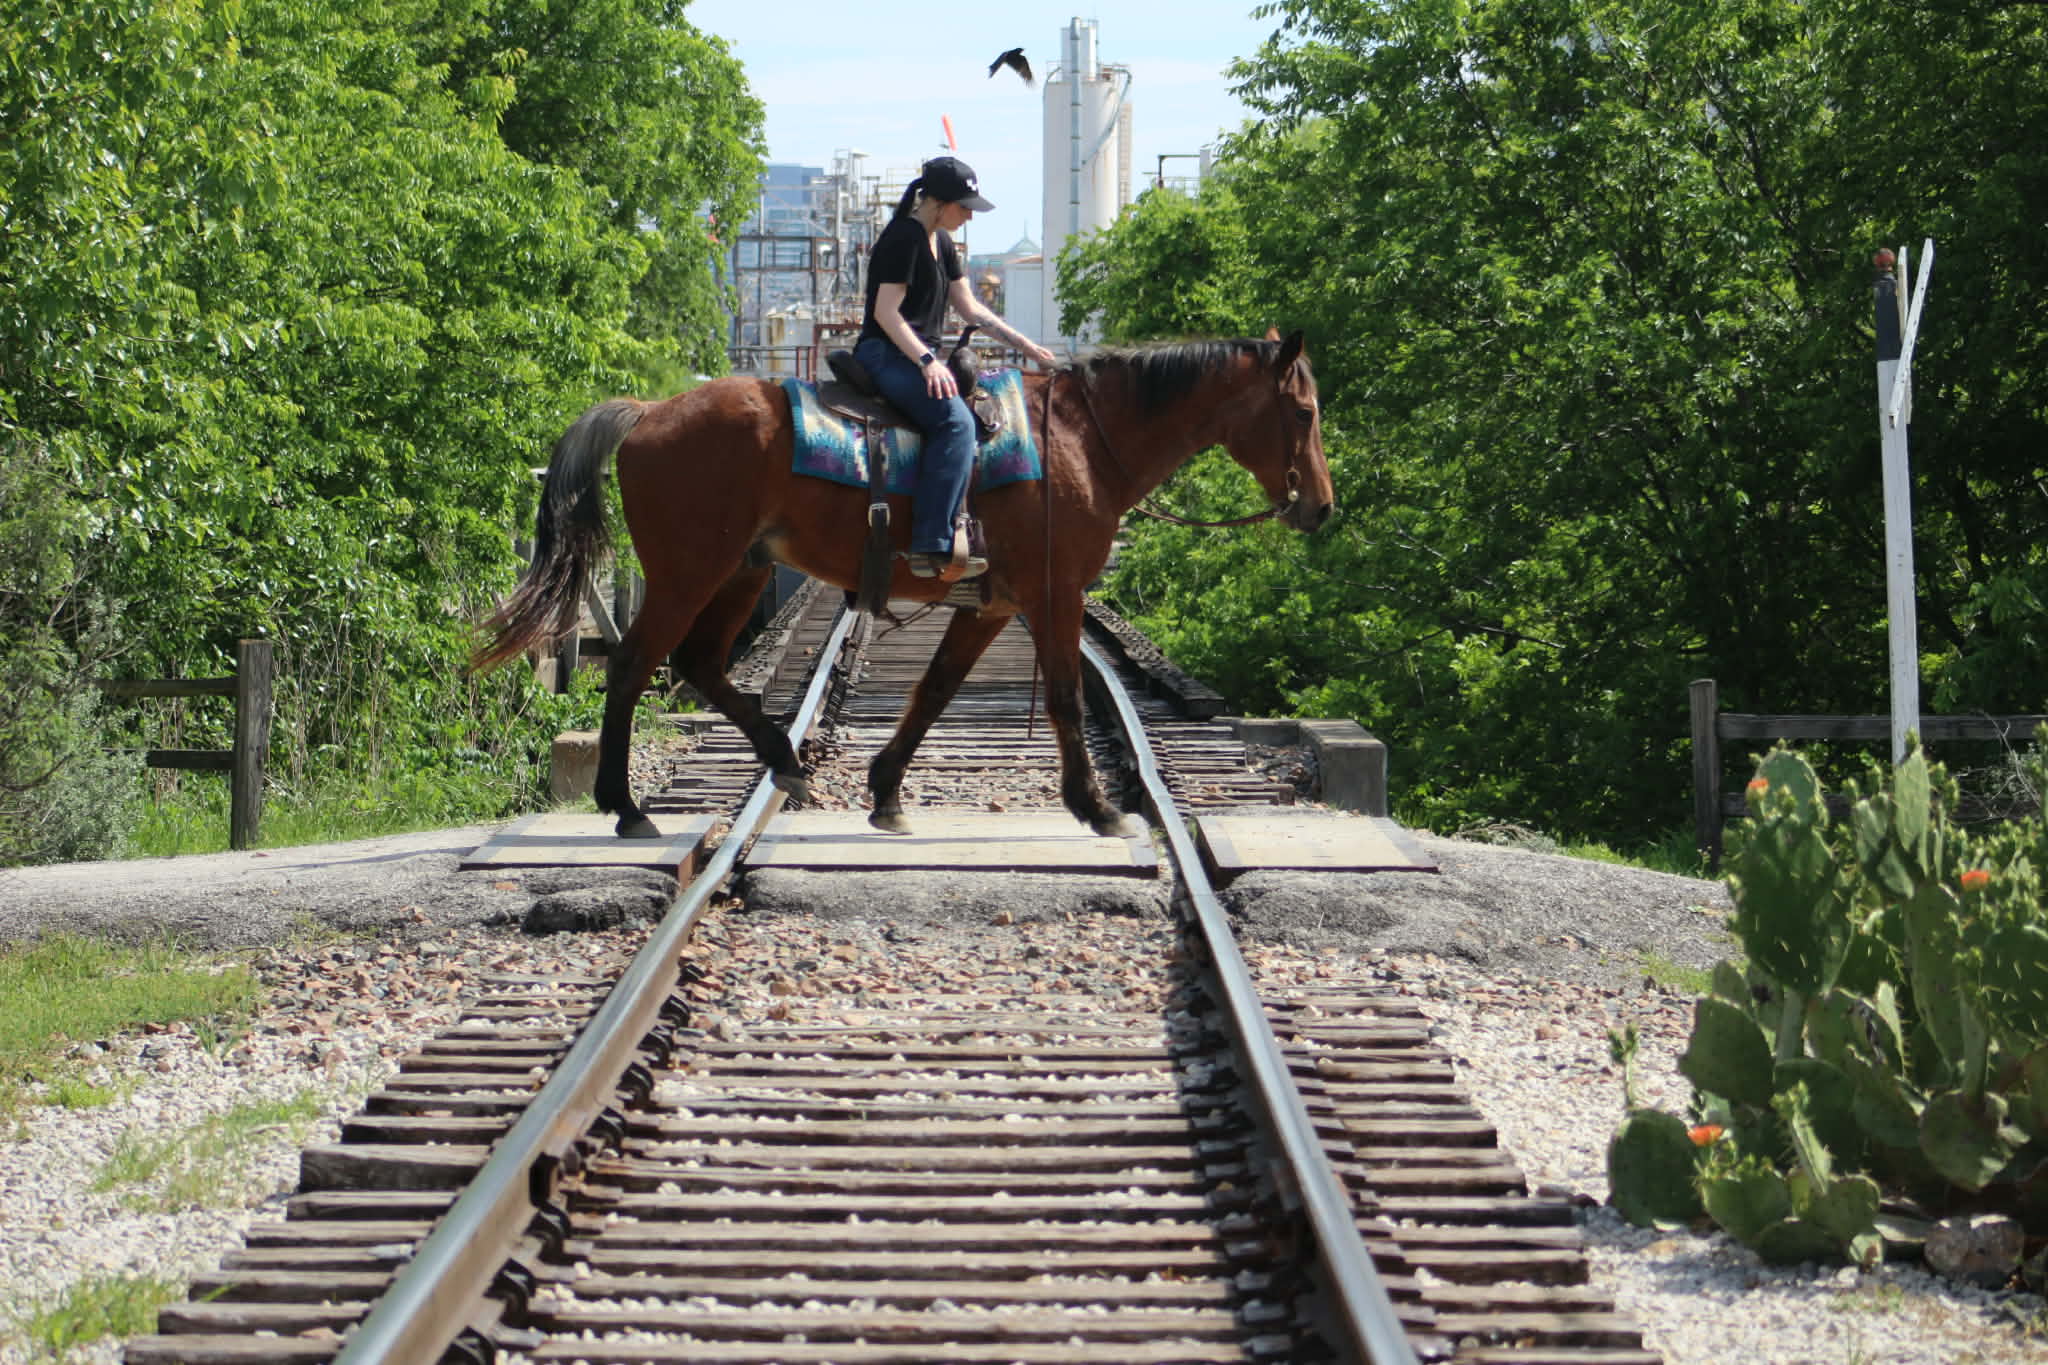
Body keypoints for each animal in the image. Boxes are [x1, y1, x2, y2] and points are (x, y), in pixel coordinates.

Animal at [472, 329, 1335, 839]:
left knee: (699, 664)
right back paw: (625, 806)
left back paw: (784, 760)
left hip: (742, 571)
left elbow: (935, 689)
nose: (1321, 506)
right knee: (631, 666)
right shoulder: (1055, 595)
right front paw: (1096, 806)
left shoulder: (996, 604)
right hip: (688, 572)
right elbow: (1061, 696)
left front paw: (886, 791)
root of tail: (650, 410)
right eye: (1302, 411)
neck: (1080, 442)